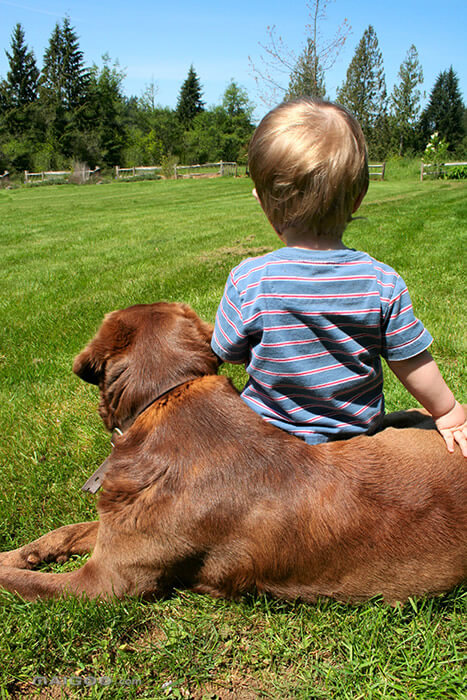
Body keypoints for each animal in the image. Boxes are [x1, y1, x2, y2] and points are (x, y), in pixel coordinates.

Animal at [0, 304, 467, 604]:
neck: (166, 397)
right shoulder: (119, 531)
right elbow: (64, 532)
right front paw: (21, 553)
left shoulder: (106, 581)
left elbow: (28, 583)